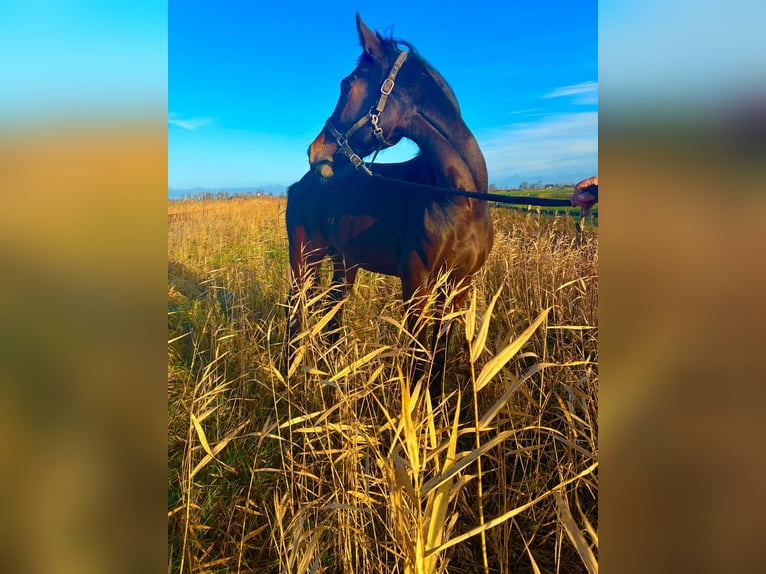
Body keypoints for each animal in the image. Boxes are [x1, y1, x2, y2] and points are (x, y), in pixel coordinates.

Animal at [288, 13, 493, 396]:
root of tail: (300, 184)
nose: (315, 150)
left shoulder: (458, 286)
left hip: (344, 264)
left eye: (347, 85)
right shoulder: (416, 284)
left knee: (331, 314)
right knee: (295, 315)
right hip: (304, 261)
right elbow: (416, 357)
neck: (462, 200)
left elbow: (439, 353)